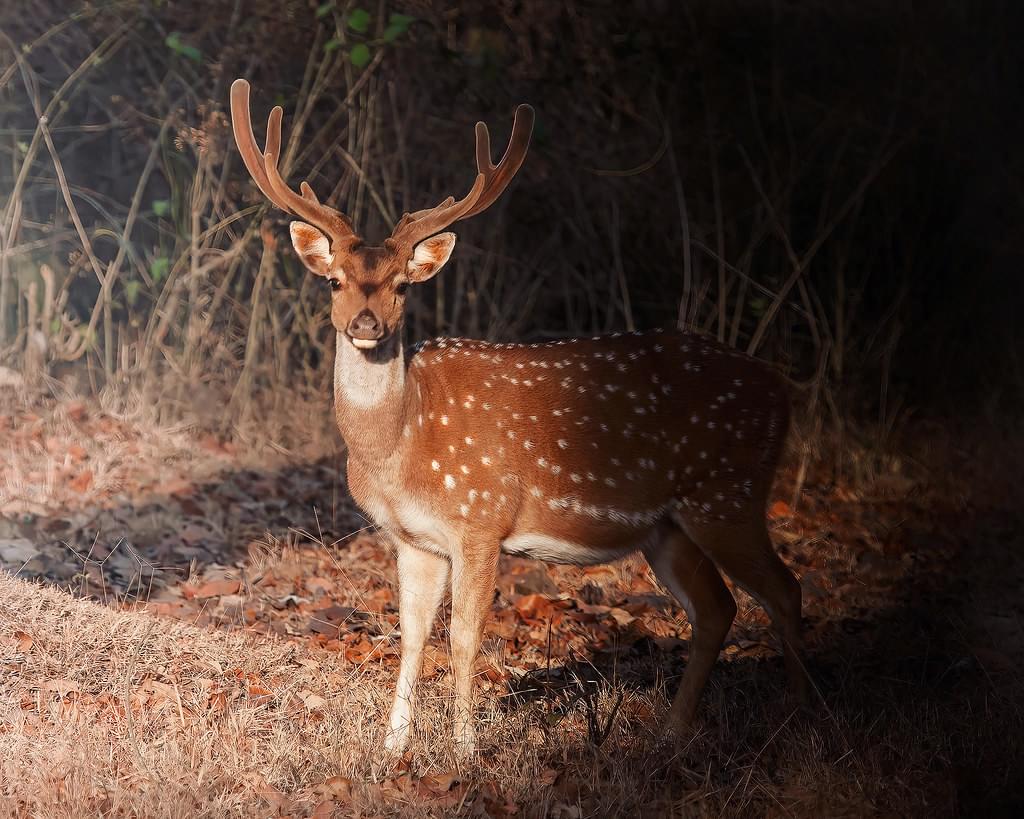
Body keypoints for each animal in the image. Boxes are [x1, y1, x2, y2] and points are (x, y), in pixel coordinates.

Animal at [232, 78, 806, 753]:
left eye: (402, 284)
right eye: (334, 281)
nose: (366, 324)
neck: (401, 443)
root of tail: (783, 390)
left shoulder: (481, 517)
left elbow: (463, 637)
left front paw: (464, 747)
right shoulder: (413, 540)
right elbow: (412, 634)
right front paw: (393, 745)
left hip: (728, 493)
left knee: (784, 589)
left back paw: (802, 719)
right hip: (669, 527)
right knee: (718, 607)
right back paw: (671, 730)